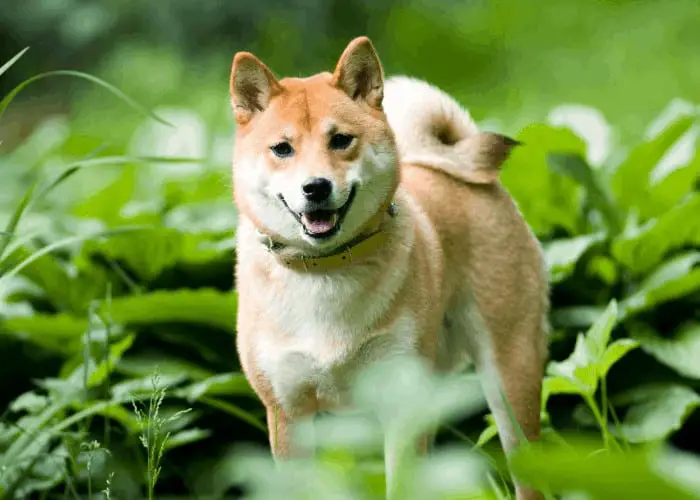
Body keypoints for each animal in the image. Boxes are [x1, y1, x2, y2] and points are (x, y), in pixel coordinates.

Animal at [230, 36, 548, 500]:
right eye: (282, 149)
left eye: (340, 140)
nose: (316, 187)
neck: (326, 271)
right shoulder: (289, 414)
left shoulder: (400, 407)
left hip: (510, 381)